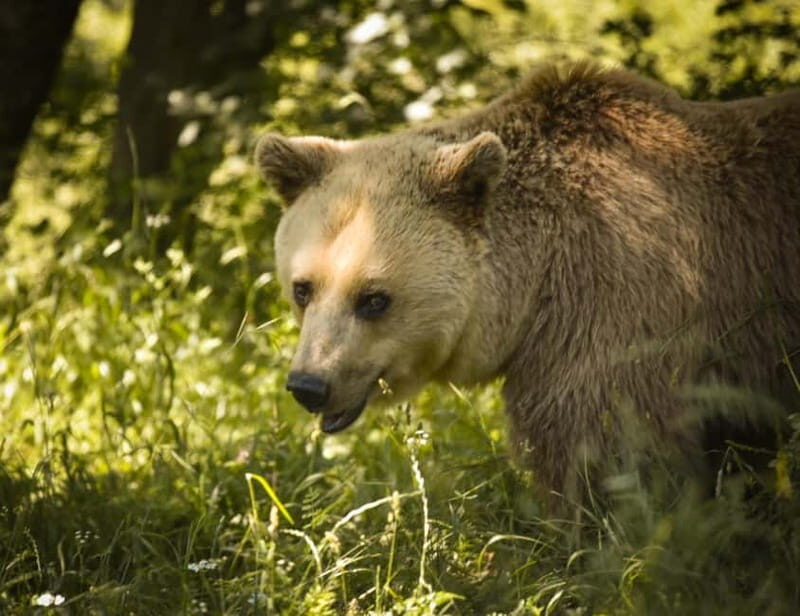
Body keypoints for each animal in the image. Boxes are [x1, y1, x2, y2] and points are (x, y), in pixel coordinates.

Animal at [255, 62, 800, 500]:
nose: (309, 385)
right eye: (303, 288)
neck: (534, 282)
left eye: (373, 299)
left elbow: (602, 445)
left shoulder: (618, 299)